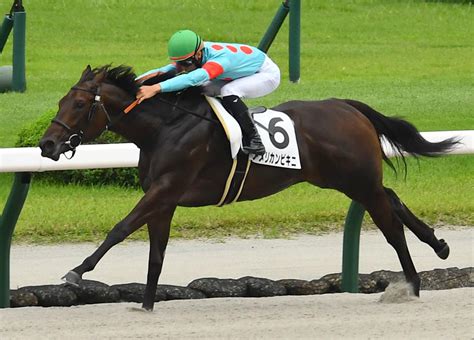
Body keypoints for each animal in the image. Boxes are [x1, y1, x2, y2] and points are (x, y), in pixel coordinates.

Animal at [39, 65, 458, 310]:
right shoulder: (165, 198)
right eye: (60, 100)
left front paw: (77, 271)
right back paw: (438, 245)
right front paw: (145, 305)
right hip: (347, 180)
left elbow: (121, 228)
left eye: (79, 104)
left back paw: (411, 285)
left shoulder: (165, 189)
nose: (47, 145)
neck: (166, 127)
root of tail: (347, 106)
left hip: (358, 181)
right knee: (393, 199)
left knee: (391, 226)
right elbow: (156, 252)